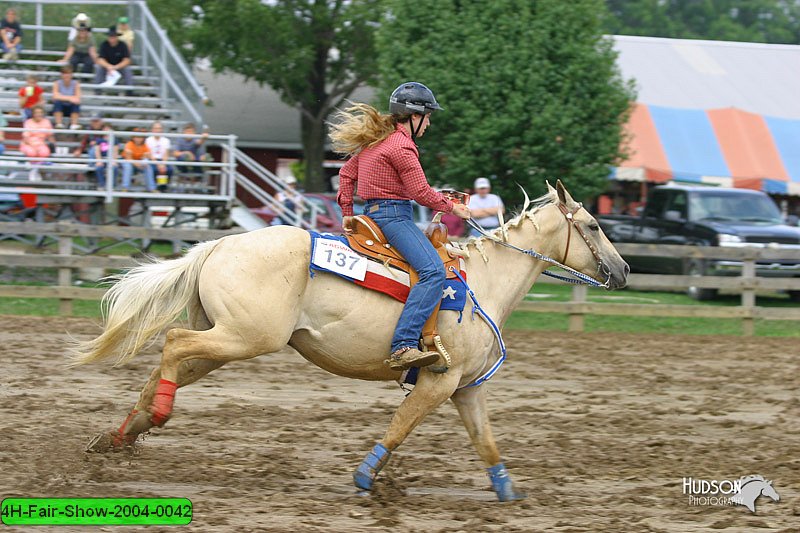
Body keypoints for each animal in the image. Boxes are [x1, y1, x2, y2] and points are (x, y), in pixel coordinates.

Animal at [72, 181, 628, 500]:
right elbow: (400, 428)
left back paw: (122, 434)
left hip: (226, 338)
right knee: (173, 343)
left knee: (168, 362)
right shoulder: (438, 382)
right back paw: (151, 420)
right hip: (244, 337)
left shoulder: (467, 388)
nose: (623, 270)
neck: (483, 286)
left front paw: (510, 494)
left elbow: (486, 442)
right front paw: (364, 479)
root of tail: (219, 244)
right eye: (595, 224)